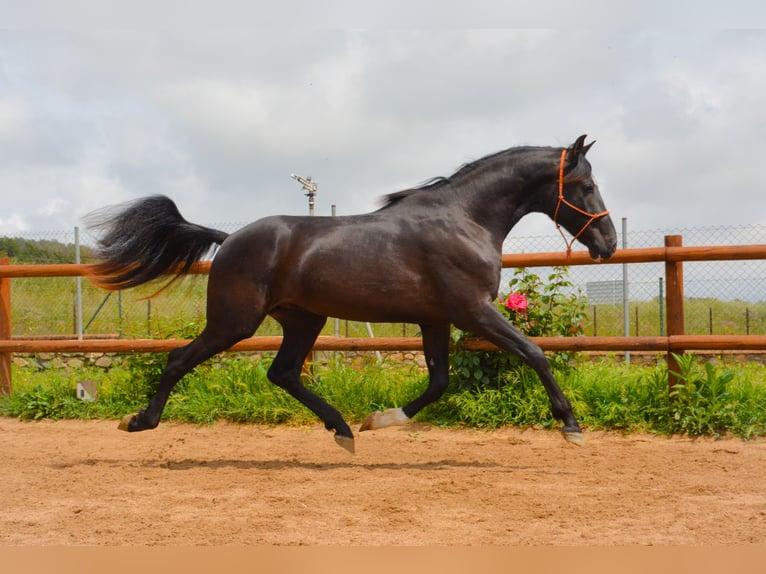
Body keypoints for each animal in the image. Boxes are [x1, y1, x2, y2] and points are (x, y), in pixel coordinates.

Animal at [86, 135, 617, 453]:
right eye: (586, 184)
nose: (608, 243)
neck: (464, 219)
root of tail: (229, 237)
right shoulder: (472, 311)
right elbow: (534, 353)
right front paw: (571, 427)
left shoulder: (436, 318)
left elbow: (439, 382)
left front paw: (379, 420)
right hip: (234, 321)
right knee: (179, 358)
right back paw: (139, 421)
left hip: (304, 319)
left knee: (283, 373)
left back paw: (342, 429)